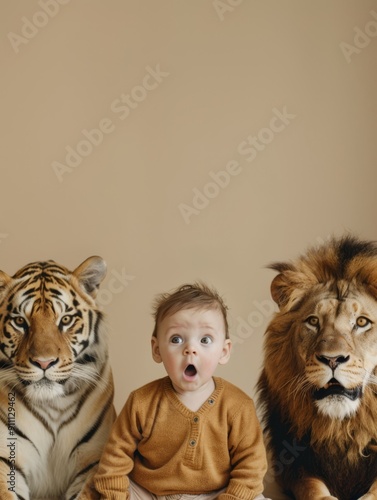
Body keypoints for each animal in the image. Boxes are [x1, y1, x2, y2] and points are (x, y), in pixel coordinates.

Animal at [0, 258, 115, 500]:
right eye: (20, 321)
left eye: (66, 320)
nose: (44, 362)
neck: (53, 404)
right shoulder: (5, 456)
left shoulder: (95, 461)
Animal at [258, 235, 377, 500]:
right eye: (313, 321)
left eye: (362, 322)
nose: (333, 359)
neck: (342, 428)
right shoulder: (293, 465)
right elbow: (311, 486)